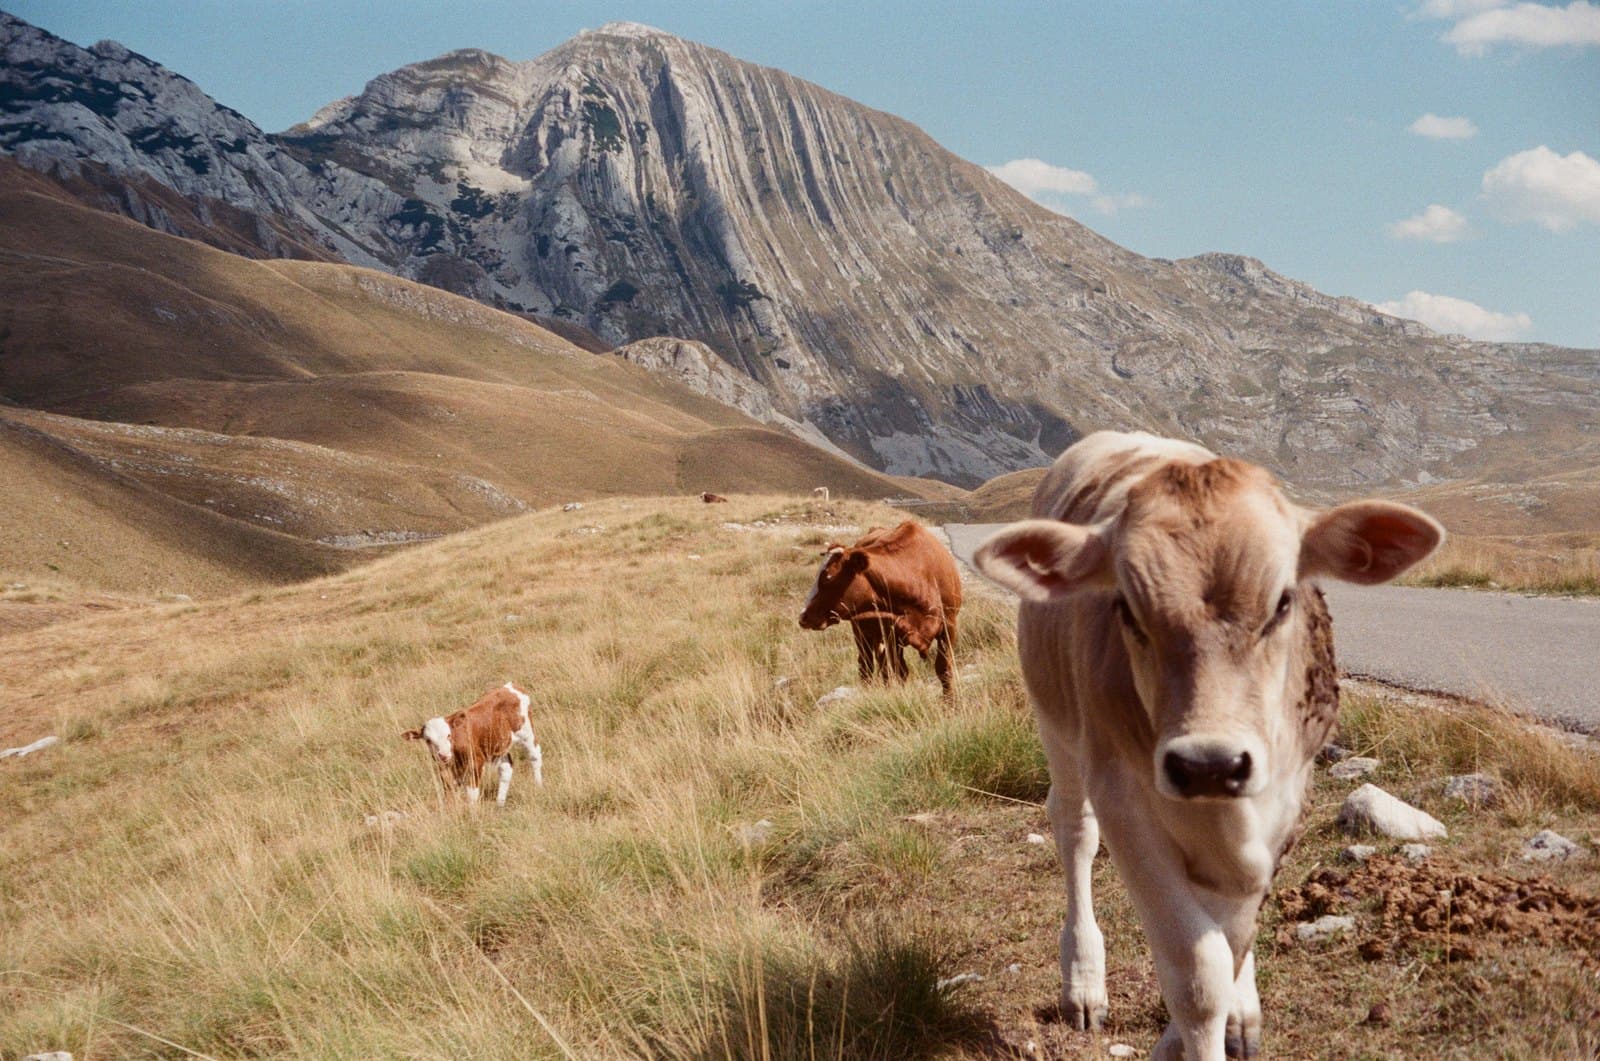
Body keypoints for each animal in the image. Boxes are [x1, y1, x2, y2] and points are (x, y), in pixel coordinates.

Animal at [402, 682, 543, 805]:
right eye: (428, 740)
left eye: (449, 735)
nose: (443, 755)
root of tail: (509, 687)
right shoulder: (444, 769)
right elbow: (449, 792)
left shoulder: (475, 762)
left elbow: (472, 793)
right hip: (497, 744)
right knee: (506, 768)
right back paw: (500, 803)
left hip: (526, 732)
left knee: (535, 756)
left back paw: (539, 786)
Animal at [798, 520, 963, 696]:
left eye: (828, 578)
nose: (803, 616)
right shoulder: (892, 634)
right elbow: (898, 671)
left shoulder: (949, 626)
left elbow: (943, 669)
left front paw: (950, 701)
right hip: (861, 633)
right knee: (867, 666)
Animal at [972, 431, 1441, 1061]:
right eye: (1127, 608)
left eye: (1283, 602)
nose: (1208, 764)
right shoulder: (1124, 799)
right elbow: (1197, 975)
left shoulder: (1283, 798)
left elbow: (1234, 935)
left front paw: (1223, 1015)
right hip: (1057, 726)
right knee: (1073, 829)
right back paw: (1083, 981)